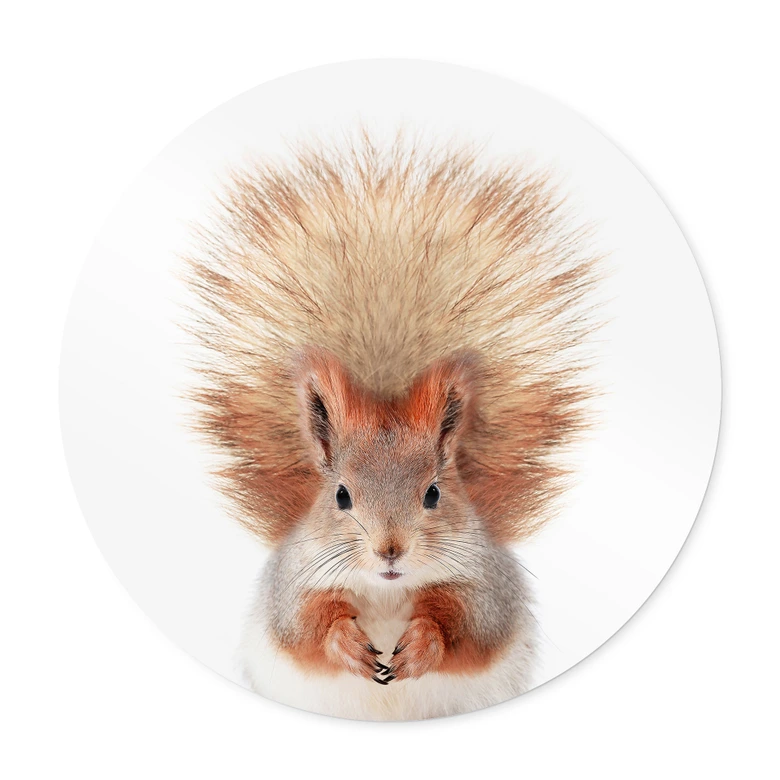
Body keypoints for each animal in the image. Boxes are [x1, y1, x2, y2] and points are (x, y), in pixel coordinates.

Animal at [183, 134, 601, 720]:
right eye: (339, 495)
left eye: (433, 494)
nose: (390, 550)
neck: (384, 590)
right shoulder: (294, 585)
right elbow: (305, 627)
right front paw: (346, 644)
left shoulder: (485, 587)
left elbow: (467, 626)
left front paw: (422, 644)